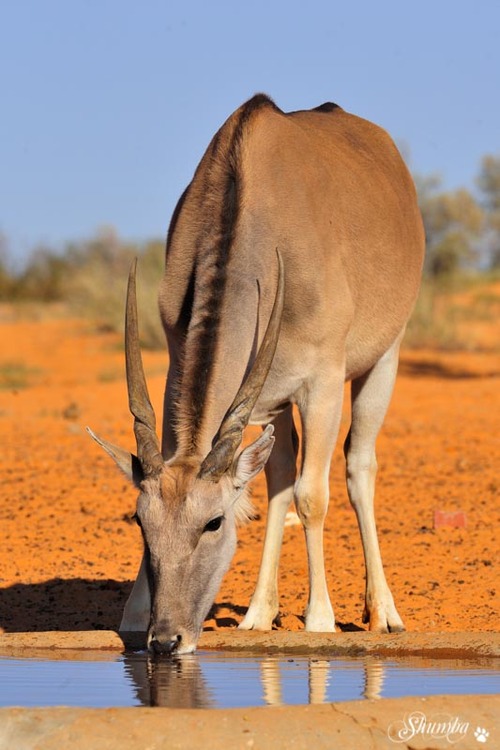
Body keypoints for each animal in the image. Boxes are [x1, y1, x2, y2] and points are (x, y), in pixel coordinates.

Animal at [89, 94, 422, 656]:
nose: (167, 640)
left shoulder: (322, 385)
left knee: (357, 468)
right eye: (140, 521)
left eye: (214, 522)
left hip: (384, 360)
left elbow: (314, 496)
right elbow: (279, 484)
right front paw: (134, 616)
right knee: (280, 476)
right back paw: (260, 613)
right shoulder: (187, 370)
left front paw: (320, 618)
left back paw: (382, 611)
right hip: (274, 402)